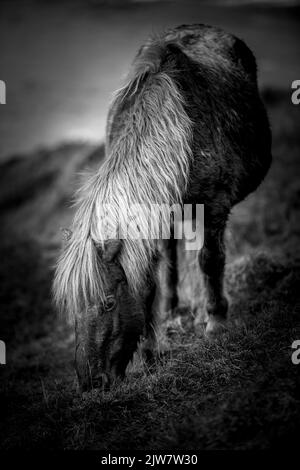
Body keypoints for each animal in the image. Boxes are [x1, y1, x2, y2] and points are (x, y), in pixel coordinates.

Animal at [53, 23, 272, 392]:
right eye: (72, 307)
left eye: (108, 302)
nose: (91, 384)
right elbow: (149, 284)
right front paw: (153, 354)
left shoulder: (214, 208)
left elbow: (210, 262)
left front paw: (216, 324)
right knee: (168, 257)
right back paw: (170, 309)